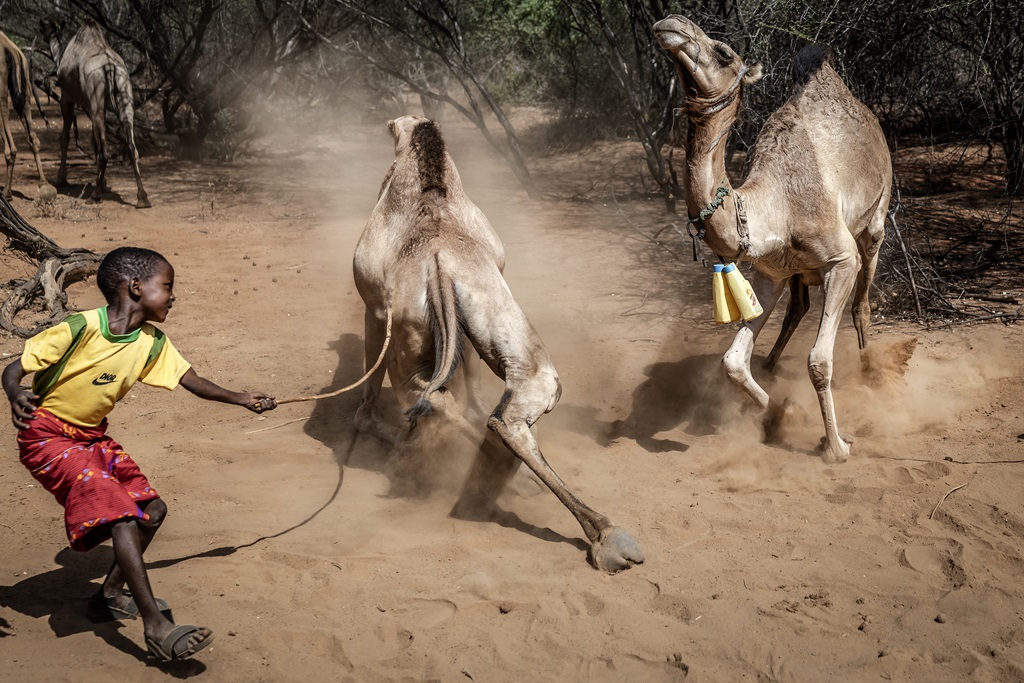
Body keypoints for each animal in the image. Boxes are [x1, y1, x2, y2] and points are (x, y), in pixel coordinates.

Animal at [0, 32, 56, 201]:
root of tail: (11, 50)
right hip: (24, 89)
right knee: (33, 138)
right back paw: (44, 185)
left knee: (10, 145)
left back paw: (7, 193)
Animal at [39, 18, 150, 208]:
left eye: (45, 29)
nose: (43, 34)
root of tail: (110, 67)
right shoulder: (91, 106)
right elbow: (93, 141)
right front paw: (104, 183)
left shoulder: (68, 99)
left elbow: (65, 137)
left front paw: (62, 179)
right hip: (124, 95)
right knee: (131, 146)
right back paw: (142, 197)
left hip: (96, 98)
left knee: (104, 153)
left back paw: (95, 195)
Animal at [353, 114, 643, 573]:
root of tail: (437, 262)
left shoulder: (375, 308)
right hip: (494, 318)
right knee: (509, 403)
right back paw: (605, 536)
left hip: (411, 327)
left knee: (430, 397)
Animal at [653, 16, 892, 463]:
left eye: (723, 52)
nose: (673, 24)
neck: (775, 207)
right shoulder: (770, 272)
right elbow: (732, 361)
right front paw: (777, 411)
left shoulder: (840, 259)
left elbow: (818, 361)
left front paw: (836, 447)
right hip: (799, 270)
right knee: (798, 307)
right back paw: (772, 366)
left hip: (876, 219)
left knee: (863, 303)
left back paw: (871, 375)